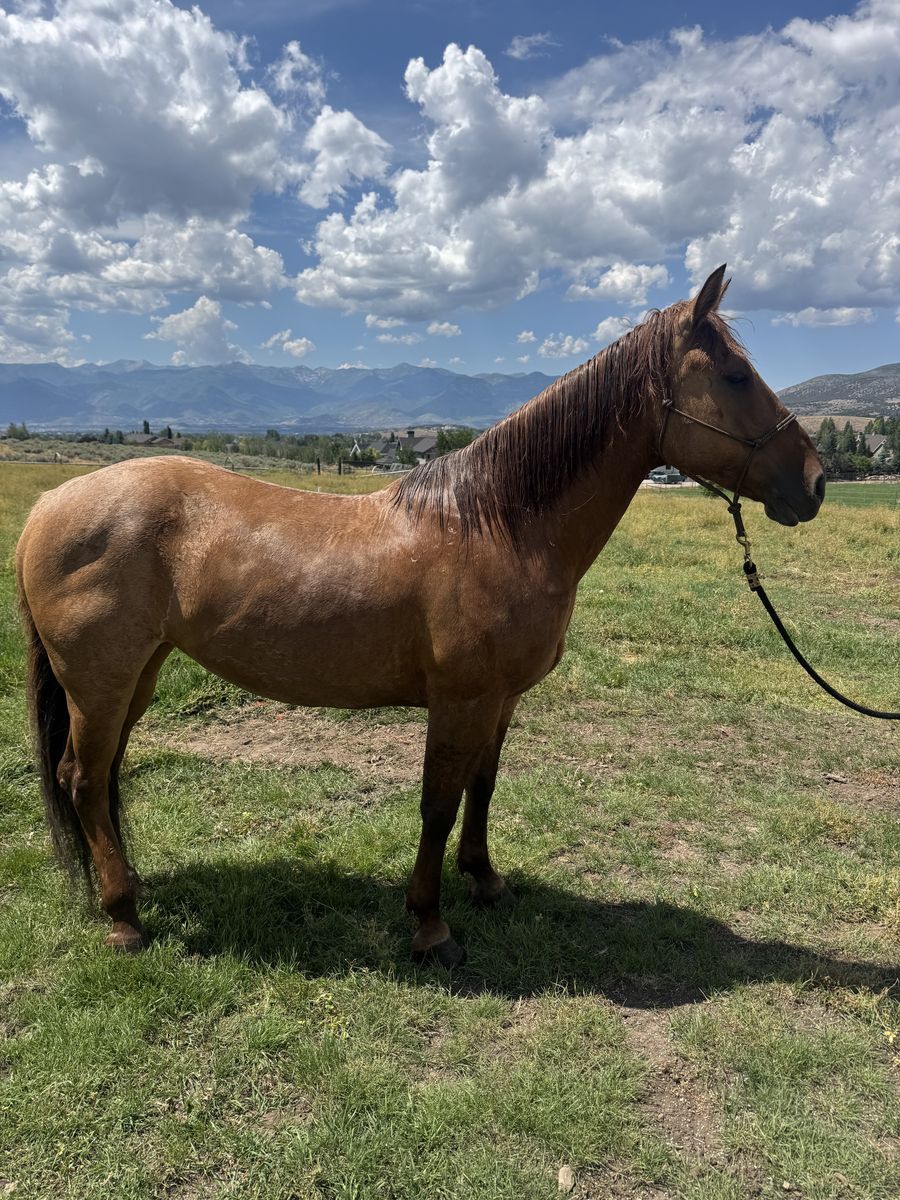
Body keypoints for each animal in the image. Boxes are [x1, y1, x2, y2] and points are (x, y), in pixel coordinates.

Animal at [16, 266, 825, 965]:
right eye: (736, 376)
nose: (816, 482)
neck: (498, 524)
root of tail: (47, 506)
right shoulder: (459, 699)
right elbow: (437, 802)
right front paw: (431, 926)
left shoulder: (500, 699)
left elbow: (481, 788)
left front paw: (486, 881)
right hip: (100, 681)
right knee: (83, 778)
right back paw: (124, 918)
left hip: (138, 675)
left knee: (102, 777)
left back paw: (128, 891)